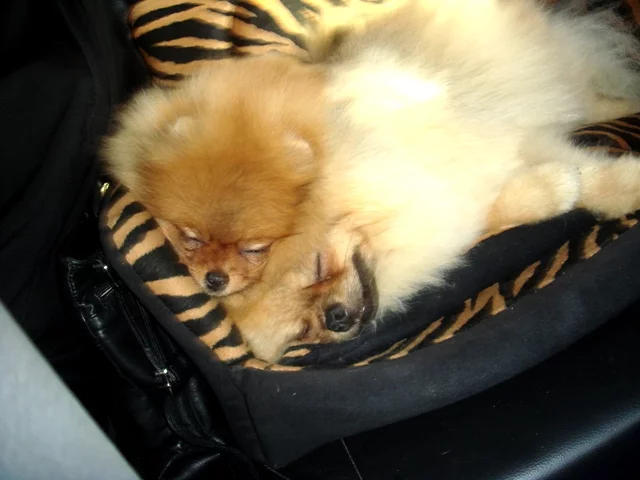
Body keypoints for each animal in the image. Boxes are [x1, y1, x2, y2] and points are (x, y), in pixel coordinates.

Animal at [225, 0, 640, 362]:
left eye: (317, 266)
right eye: (303, 330)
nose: (335, 317)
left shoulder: (497, 141)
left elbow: (586, 176)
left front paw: (624, 185)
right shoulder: (460, 204)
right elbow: (506, 206)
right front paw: (556, 188)